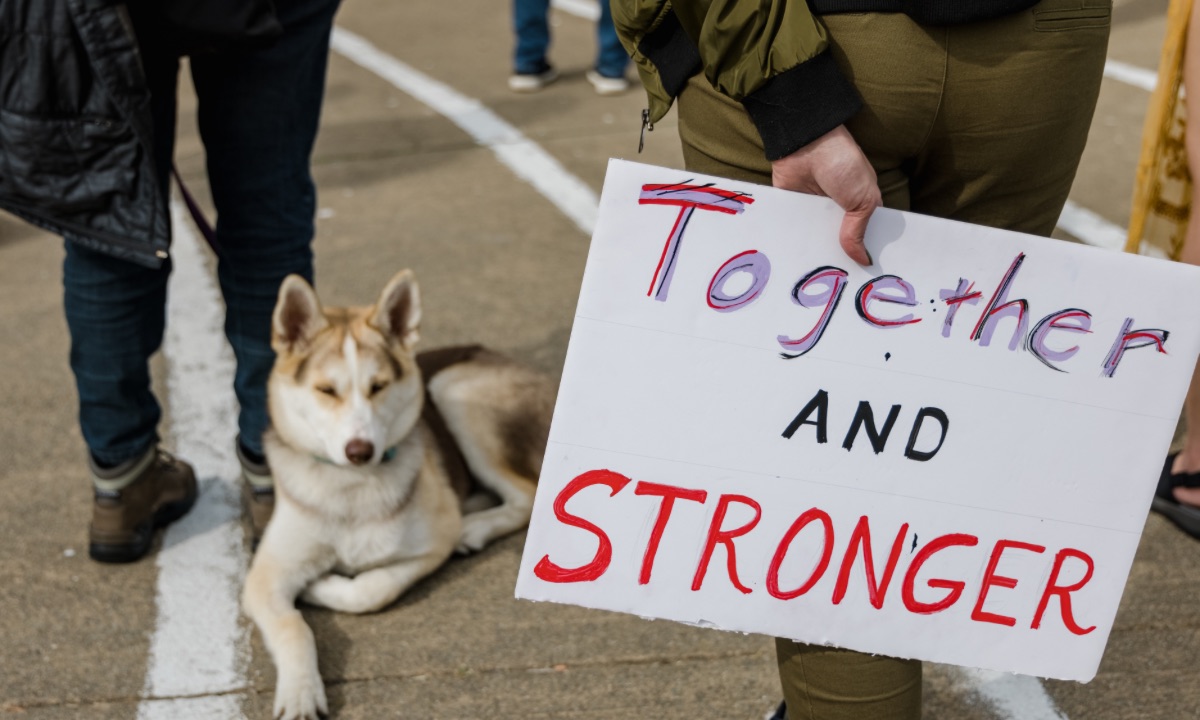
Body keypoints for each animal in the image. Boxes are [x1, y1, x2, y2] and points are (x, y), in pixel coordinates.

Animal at [243, 271, 552, 720]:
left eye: (378, 387)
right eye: (326, 390)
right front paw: (300, 692)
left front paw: (320, 586)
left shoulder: (432, 545)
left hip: (454, 391)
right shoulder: (264, 576)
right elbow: (293, 628)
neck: (351, 488)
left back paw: (473, 528)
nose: (360, 451)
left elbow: (372, 589)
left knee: (527, 494)